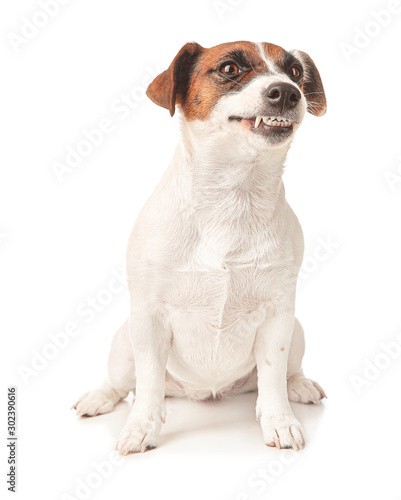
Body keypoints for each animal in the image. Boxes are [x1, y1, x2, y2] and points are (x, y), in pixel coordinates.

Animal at [73, 40, 326, 454]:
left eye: (295, 72)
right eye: (229, 68)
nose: (288, 92)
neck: (232, 196)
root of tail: (205, 392)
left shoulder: (278, 317)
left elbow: (273, 377)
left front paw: (279, 421)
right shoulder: (149, 317)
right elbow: (148, 384)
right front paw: (141, 426)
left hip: (298, 331)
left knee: (285, 374)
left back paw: (299, 385)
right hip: (124, 340)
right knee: (123, 383)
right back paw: (100, 397)